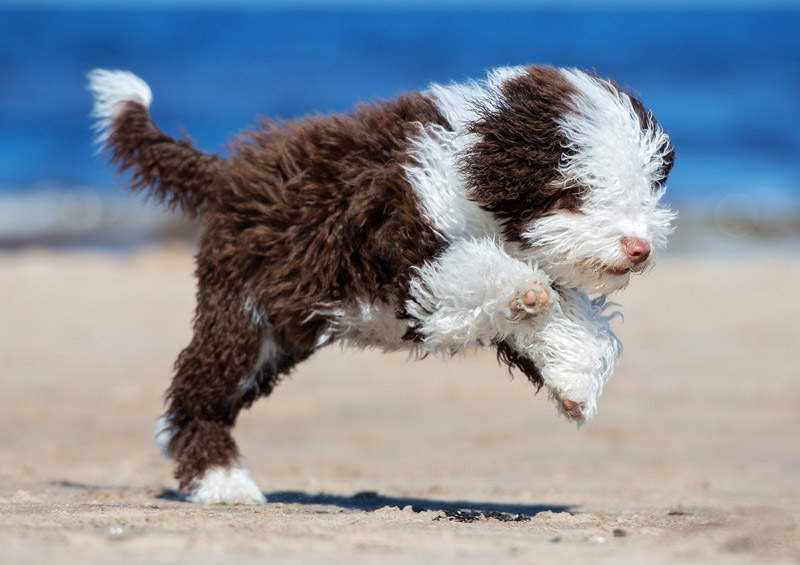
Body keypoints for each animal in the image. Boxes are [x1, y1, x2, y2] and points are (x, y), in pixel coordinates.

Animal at [87, 65, 676, 502]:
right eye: (577, 191)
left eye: (645, 189)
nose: (639, 248)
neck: (469, 169)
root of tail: (230, 174)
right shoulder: (410, 252)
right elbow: (482, 274)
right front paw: (523, 293)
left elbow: (569, 315)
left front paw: (574, 378)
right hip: (243, 315)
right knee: (197, 392)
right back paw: (220, 480)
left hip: (279, 328)